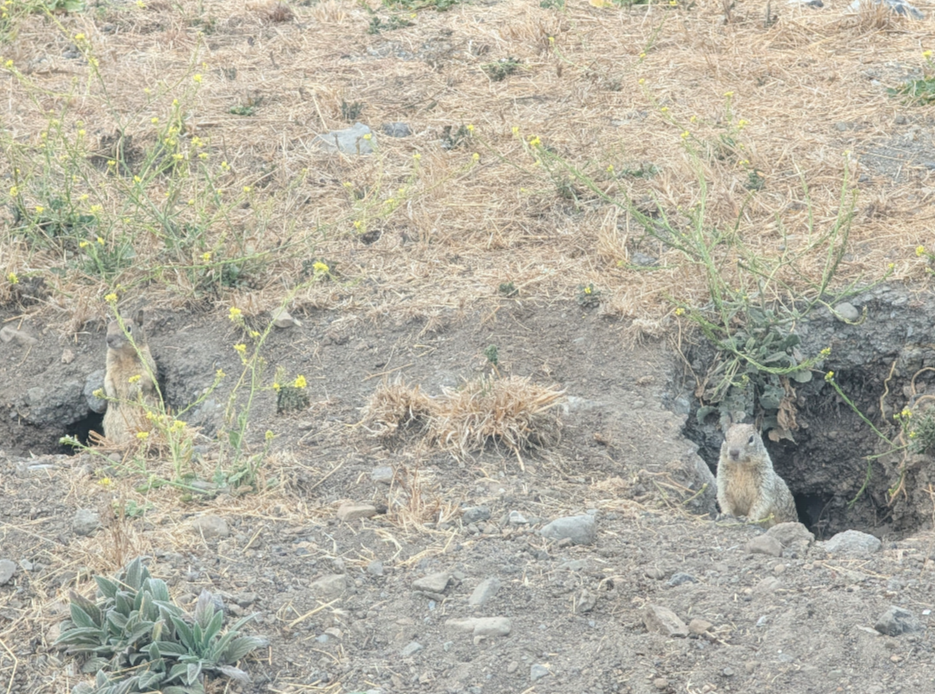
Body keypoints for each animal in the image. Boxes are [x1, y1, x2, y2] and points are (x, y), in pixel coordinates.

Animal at [102, 310, 160, 445]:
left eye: (128, 328)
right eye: (108, 327)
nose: (108, 339)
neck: (124, 356)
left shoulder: (145, 368)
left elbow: (144, 381)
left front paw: (129, 396)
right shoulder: (109, 370)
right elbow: (107, 381)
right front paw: (113, 399)